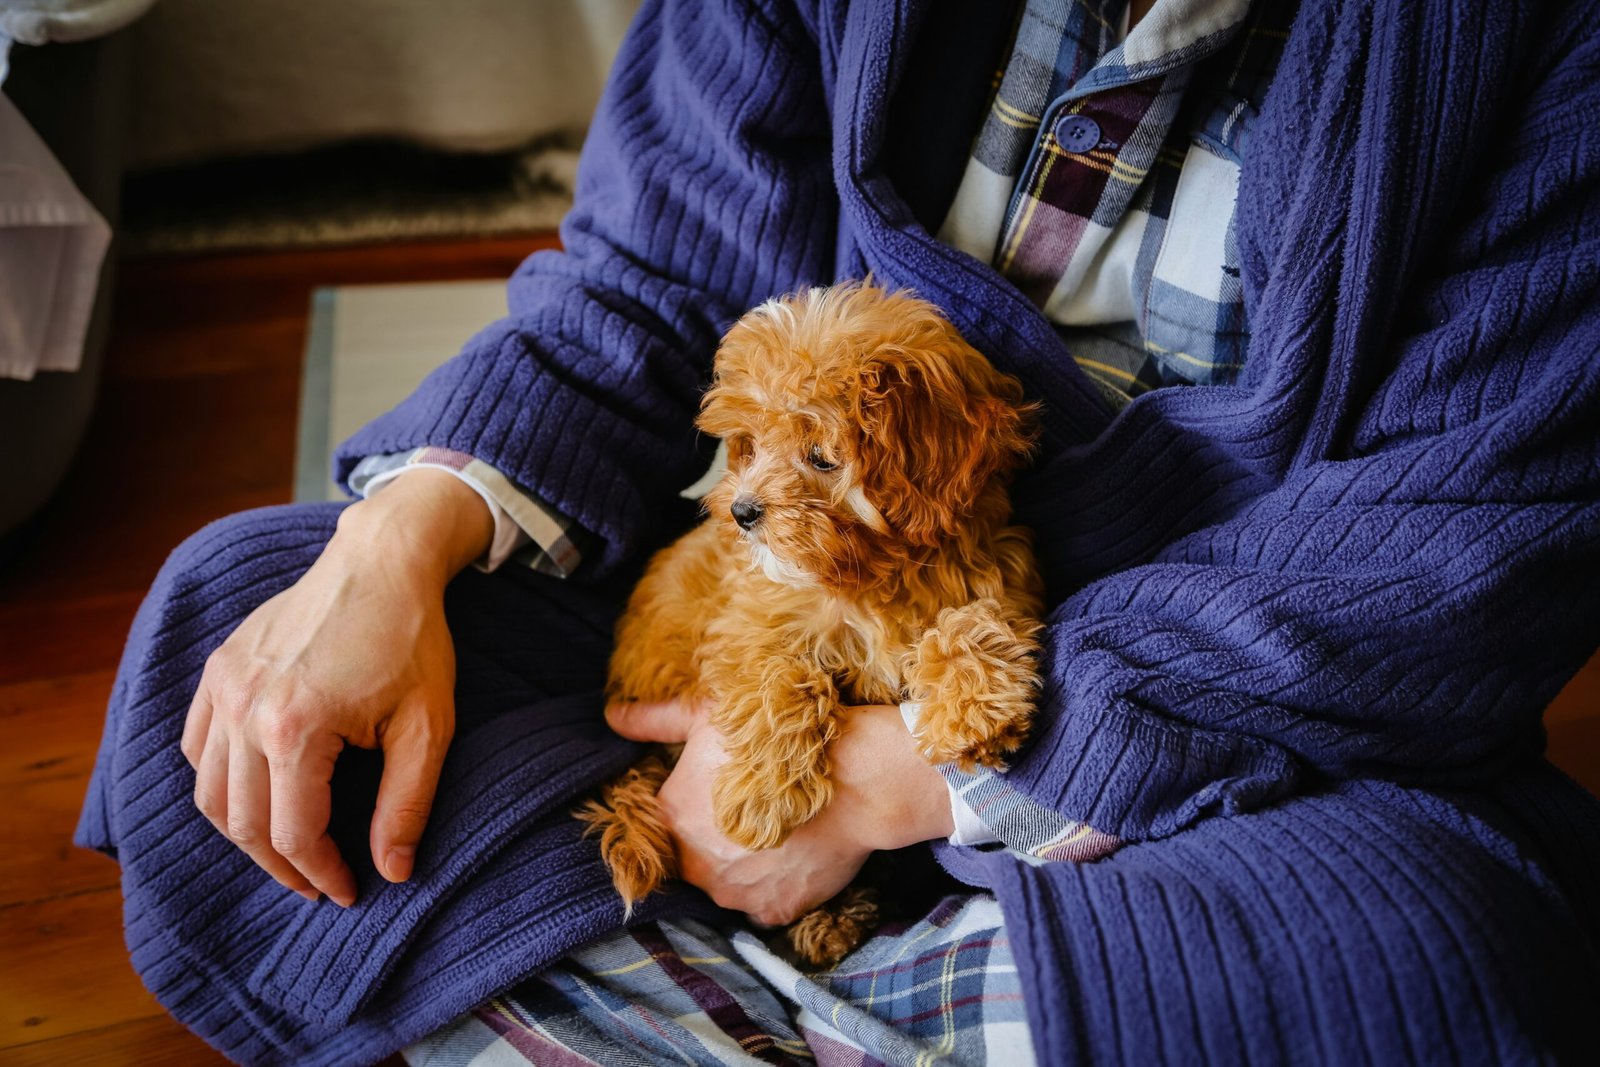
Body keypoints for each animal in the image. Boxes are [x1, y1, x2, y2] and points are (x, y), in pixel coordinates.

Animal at [582, 283, 1043, 966]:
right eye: (749, 443)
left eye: (822, 455)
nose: (743, 511)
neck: (875, 577)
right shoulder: (745, 621)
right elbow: (779, 674)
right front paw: (761, 796)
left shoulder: (1000, 578)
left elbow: (977, 622)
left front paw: (972, 711)